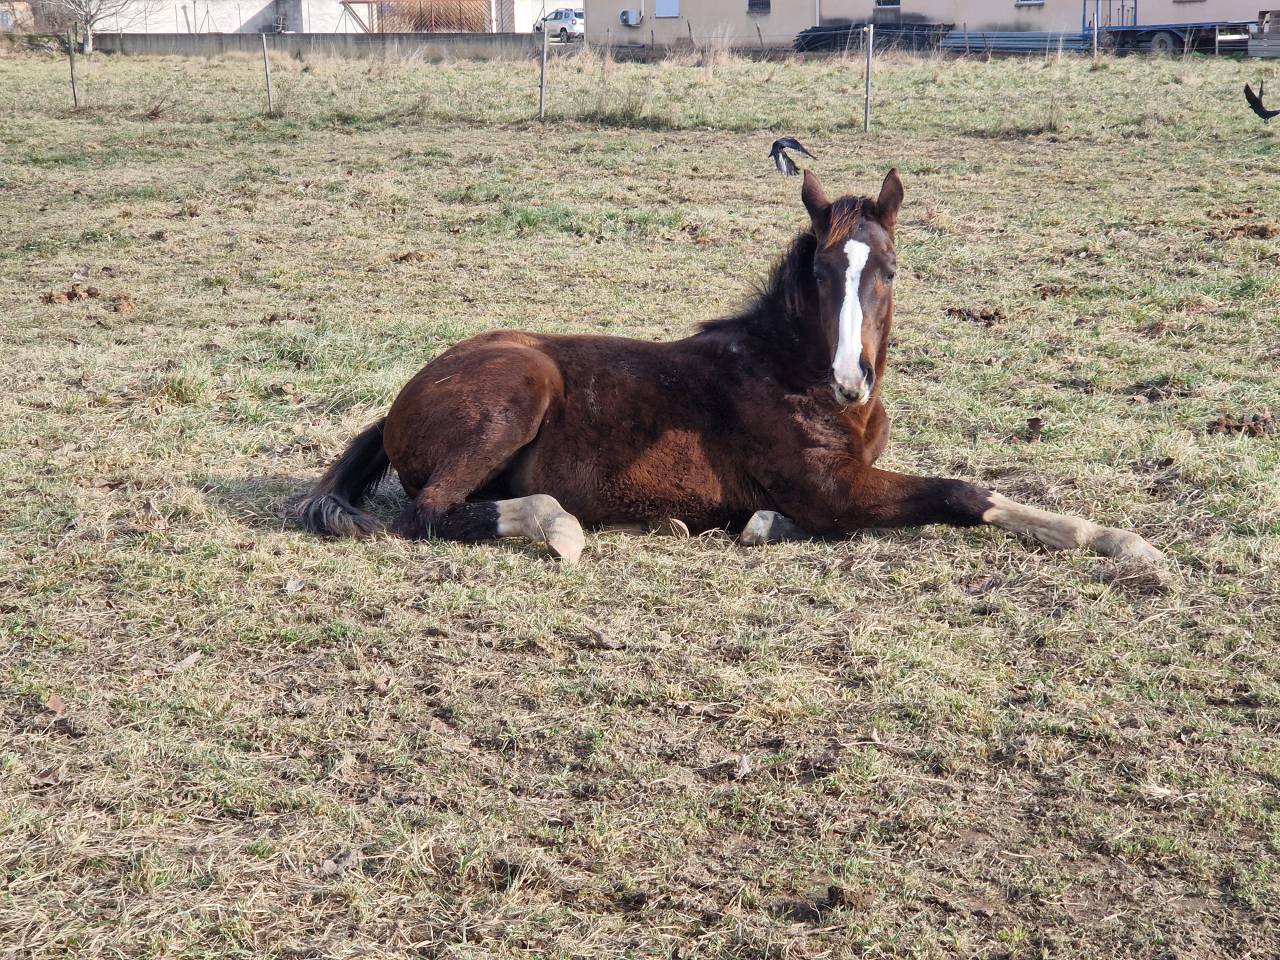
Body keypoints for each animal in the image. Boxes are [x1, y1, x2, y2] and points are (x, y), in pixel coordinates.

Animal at [298, 169, 1163, 566]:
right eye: (821, 271)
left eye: (888, 268)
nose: (851, 379)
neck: (790, 374)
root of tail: (400, 399)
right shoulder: (833, 489)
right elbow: (963, 493)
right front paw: (1129, 547)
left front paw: (1124, 542)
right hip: (521, 389)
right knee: (427, 512)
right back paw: (557, 524)